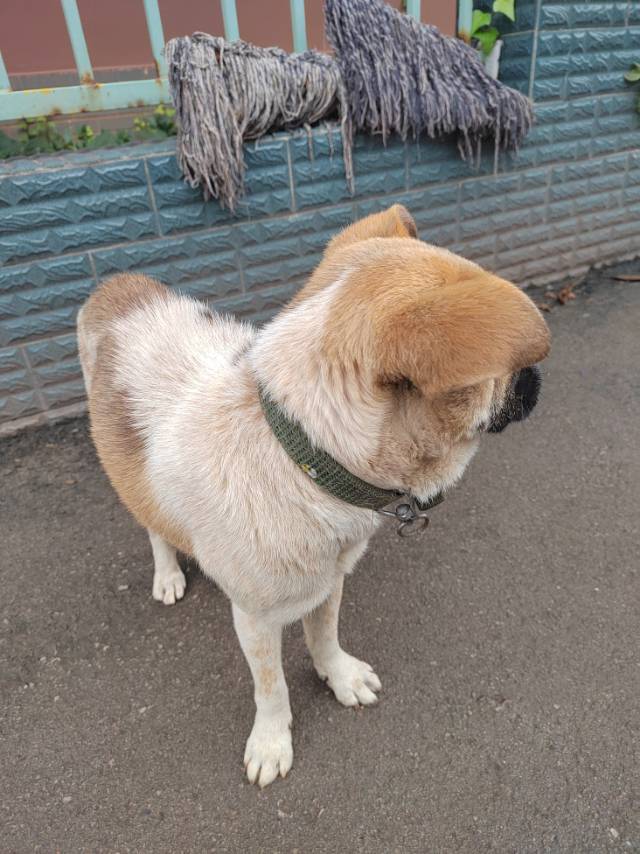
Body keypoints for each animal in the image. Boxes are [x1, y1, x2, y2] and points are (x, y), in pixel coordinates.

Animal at [76, 206, 552, 788]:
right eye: (507, 367)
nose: (537, 379)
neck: (304, 456)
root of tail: (116, 284)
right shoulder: (255, 619)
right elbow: (271, 687)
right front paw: (271, 741)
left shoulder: (329, 582)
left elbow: (324, 638)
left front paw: (339, 676)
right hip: (123, 464)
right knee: (150, 522)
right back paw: (167, 572)